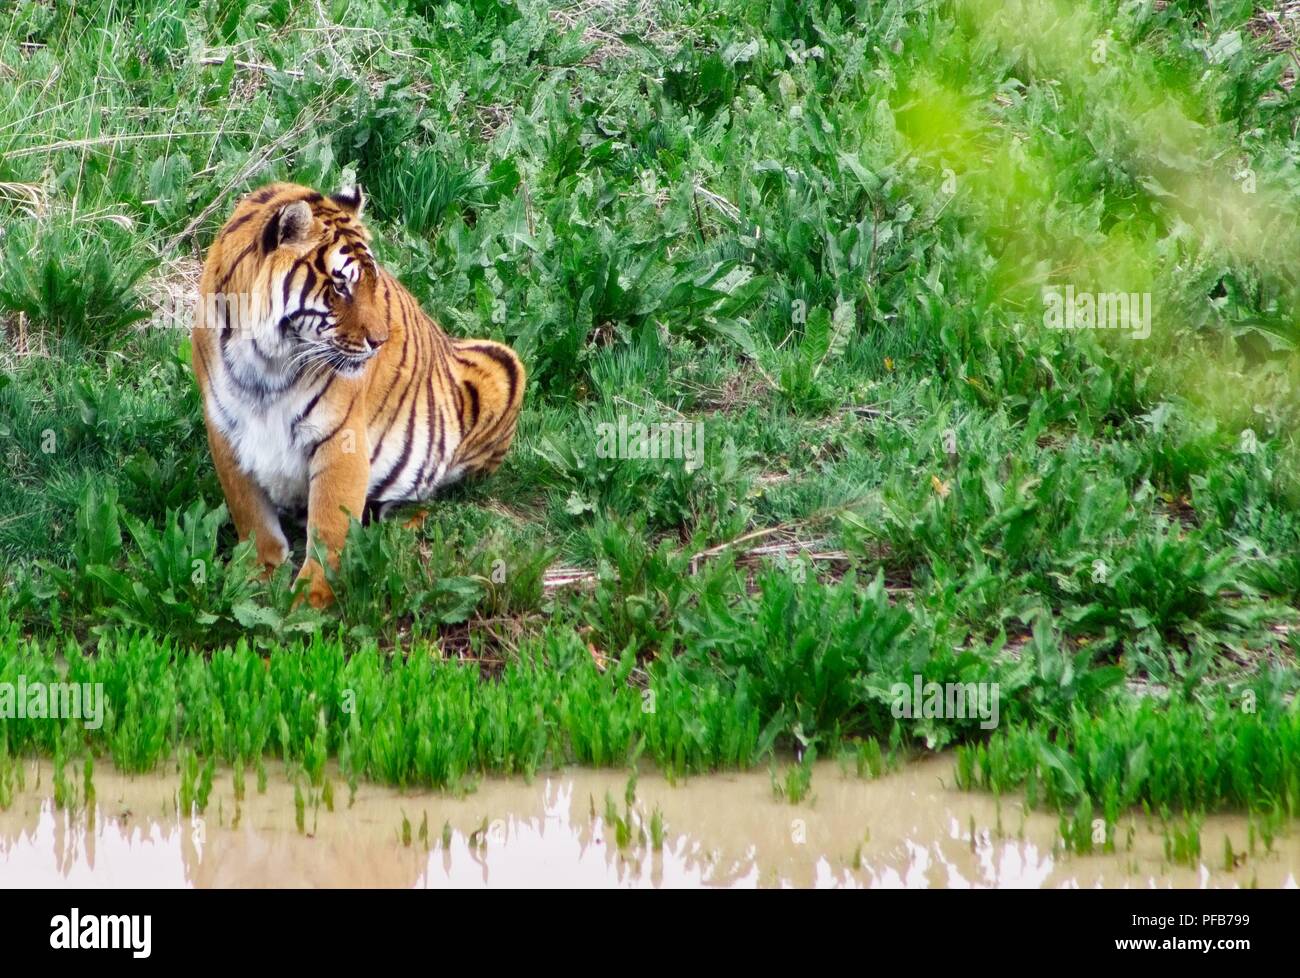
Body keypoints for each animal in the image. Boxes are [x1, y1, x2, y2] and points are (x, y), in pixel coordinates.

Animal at [189, 180, 525, 608]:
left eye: (372, 282)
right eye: (340, 285)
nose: (379, 341)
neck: (264, 361)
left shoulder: (340, 438)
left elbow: (329, 529)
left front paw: (308, 604)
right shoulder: (225, 429)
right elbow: (250, 514)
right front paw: (257, 576)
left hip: (503, 365)